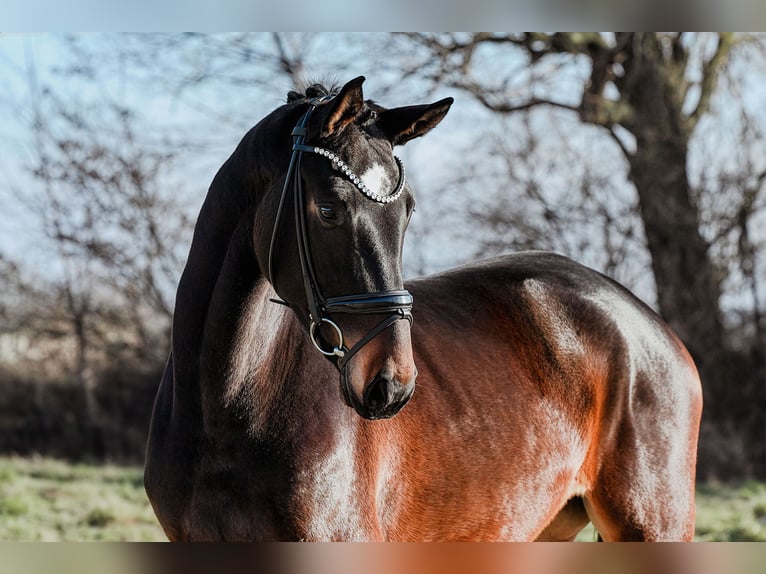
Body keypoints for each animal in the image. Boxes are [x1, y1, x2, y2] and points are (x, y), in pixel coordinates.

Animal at [144, 76, 703, 541]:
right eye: (328, 209)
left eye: (406, 211)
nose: (390, 384)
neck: (227, 407)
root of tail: (644, 321)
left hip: (652, 527)